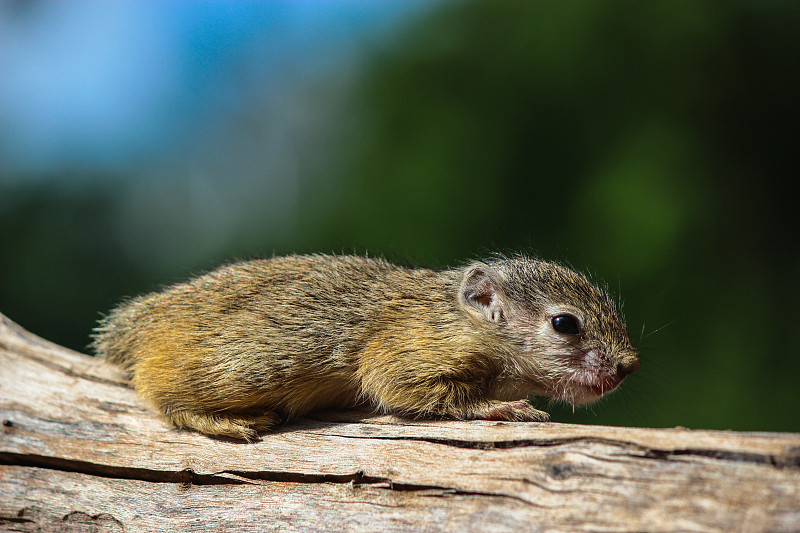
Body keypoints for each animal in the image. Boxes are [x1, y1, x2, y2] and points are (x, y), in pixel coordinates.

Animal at [90, 254, 640, 440]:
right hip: (234, 369)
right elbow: (408, 388)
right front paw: (502, 407)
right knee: (160, 393)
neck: (457, 319)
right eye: (565, 324)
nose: (629, 367)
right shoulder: (405, 351)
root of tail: (134, 324)